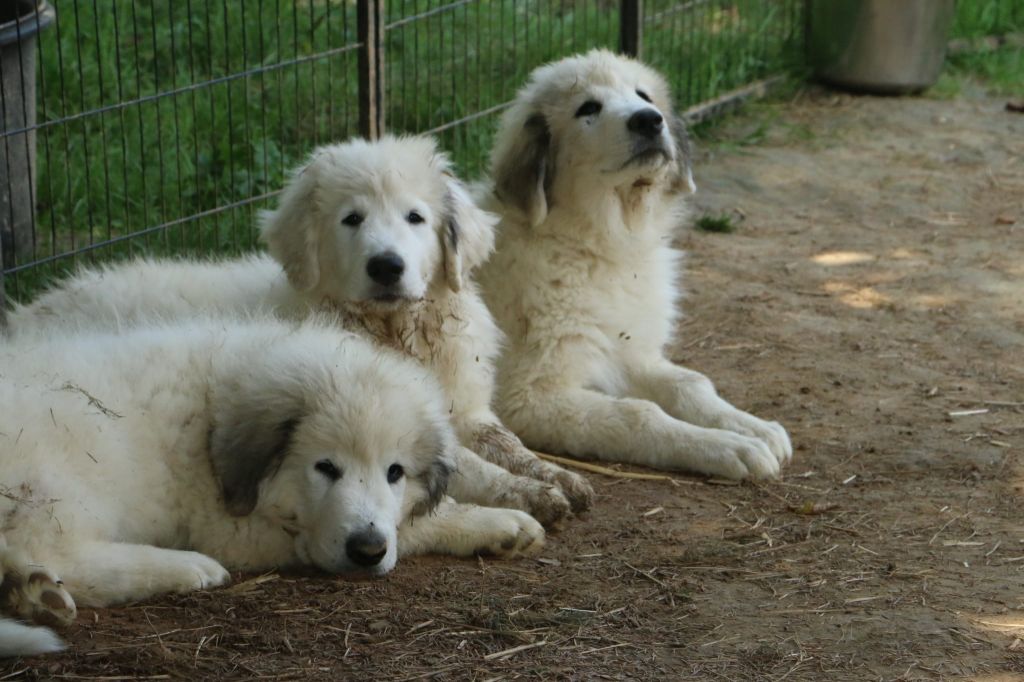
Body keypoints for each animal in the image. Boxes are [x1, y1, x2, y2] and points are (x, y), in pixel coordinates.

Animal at [0, 315, 548, 655]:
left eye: (395, 472)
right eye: (325, 467)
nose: (367, 550)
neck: (217, 408)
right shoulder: (232, 526)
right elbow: (411, 527)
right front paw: (498, 522)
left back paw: (29, 592)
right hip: (66, 473)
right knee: (61, 551)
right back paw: (184, 569)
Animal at [6, 134, 593, 524]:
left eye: (415, 218)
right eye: (352, 219)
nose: (386, 267)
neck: (393, 329)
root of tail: (26, 311)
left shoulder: (464, 407)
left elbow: (506, 443)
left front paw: (555, 475)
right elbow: (471, 466)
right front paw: (529, 494)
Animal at [475, 50, 794, 477]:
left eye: (644, 96)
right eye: (588, 108)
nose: (649, 119)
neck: (604, 247)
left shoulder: (630, 351)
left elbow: (691, 383)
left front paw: (751, 426)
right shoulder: (527, 396)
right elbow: (640, 414)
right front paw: (730, 447)